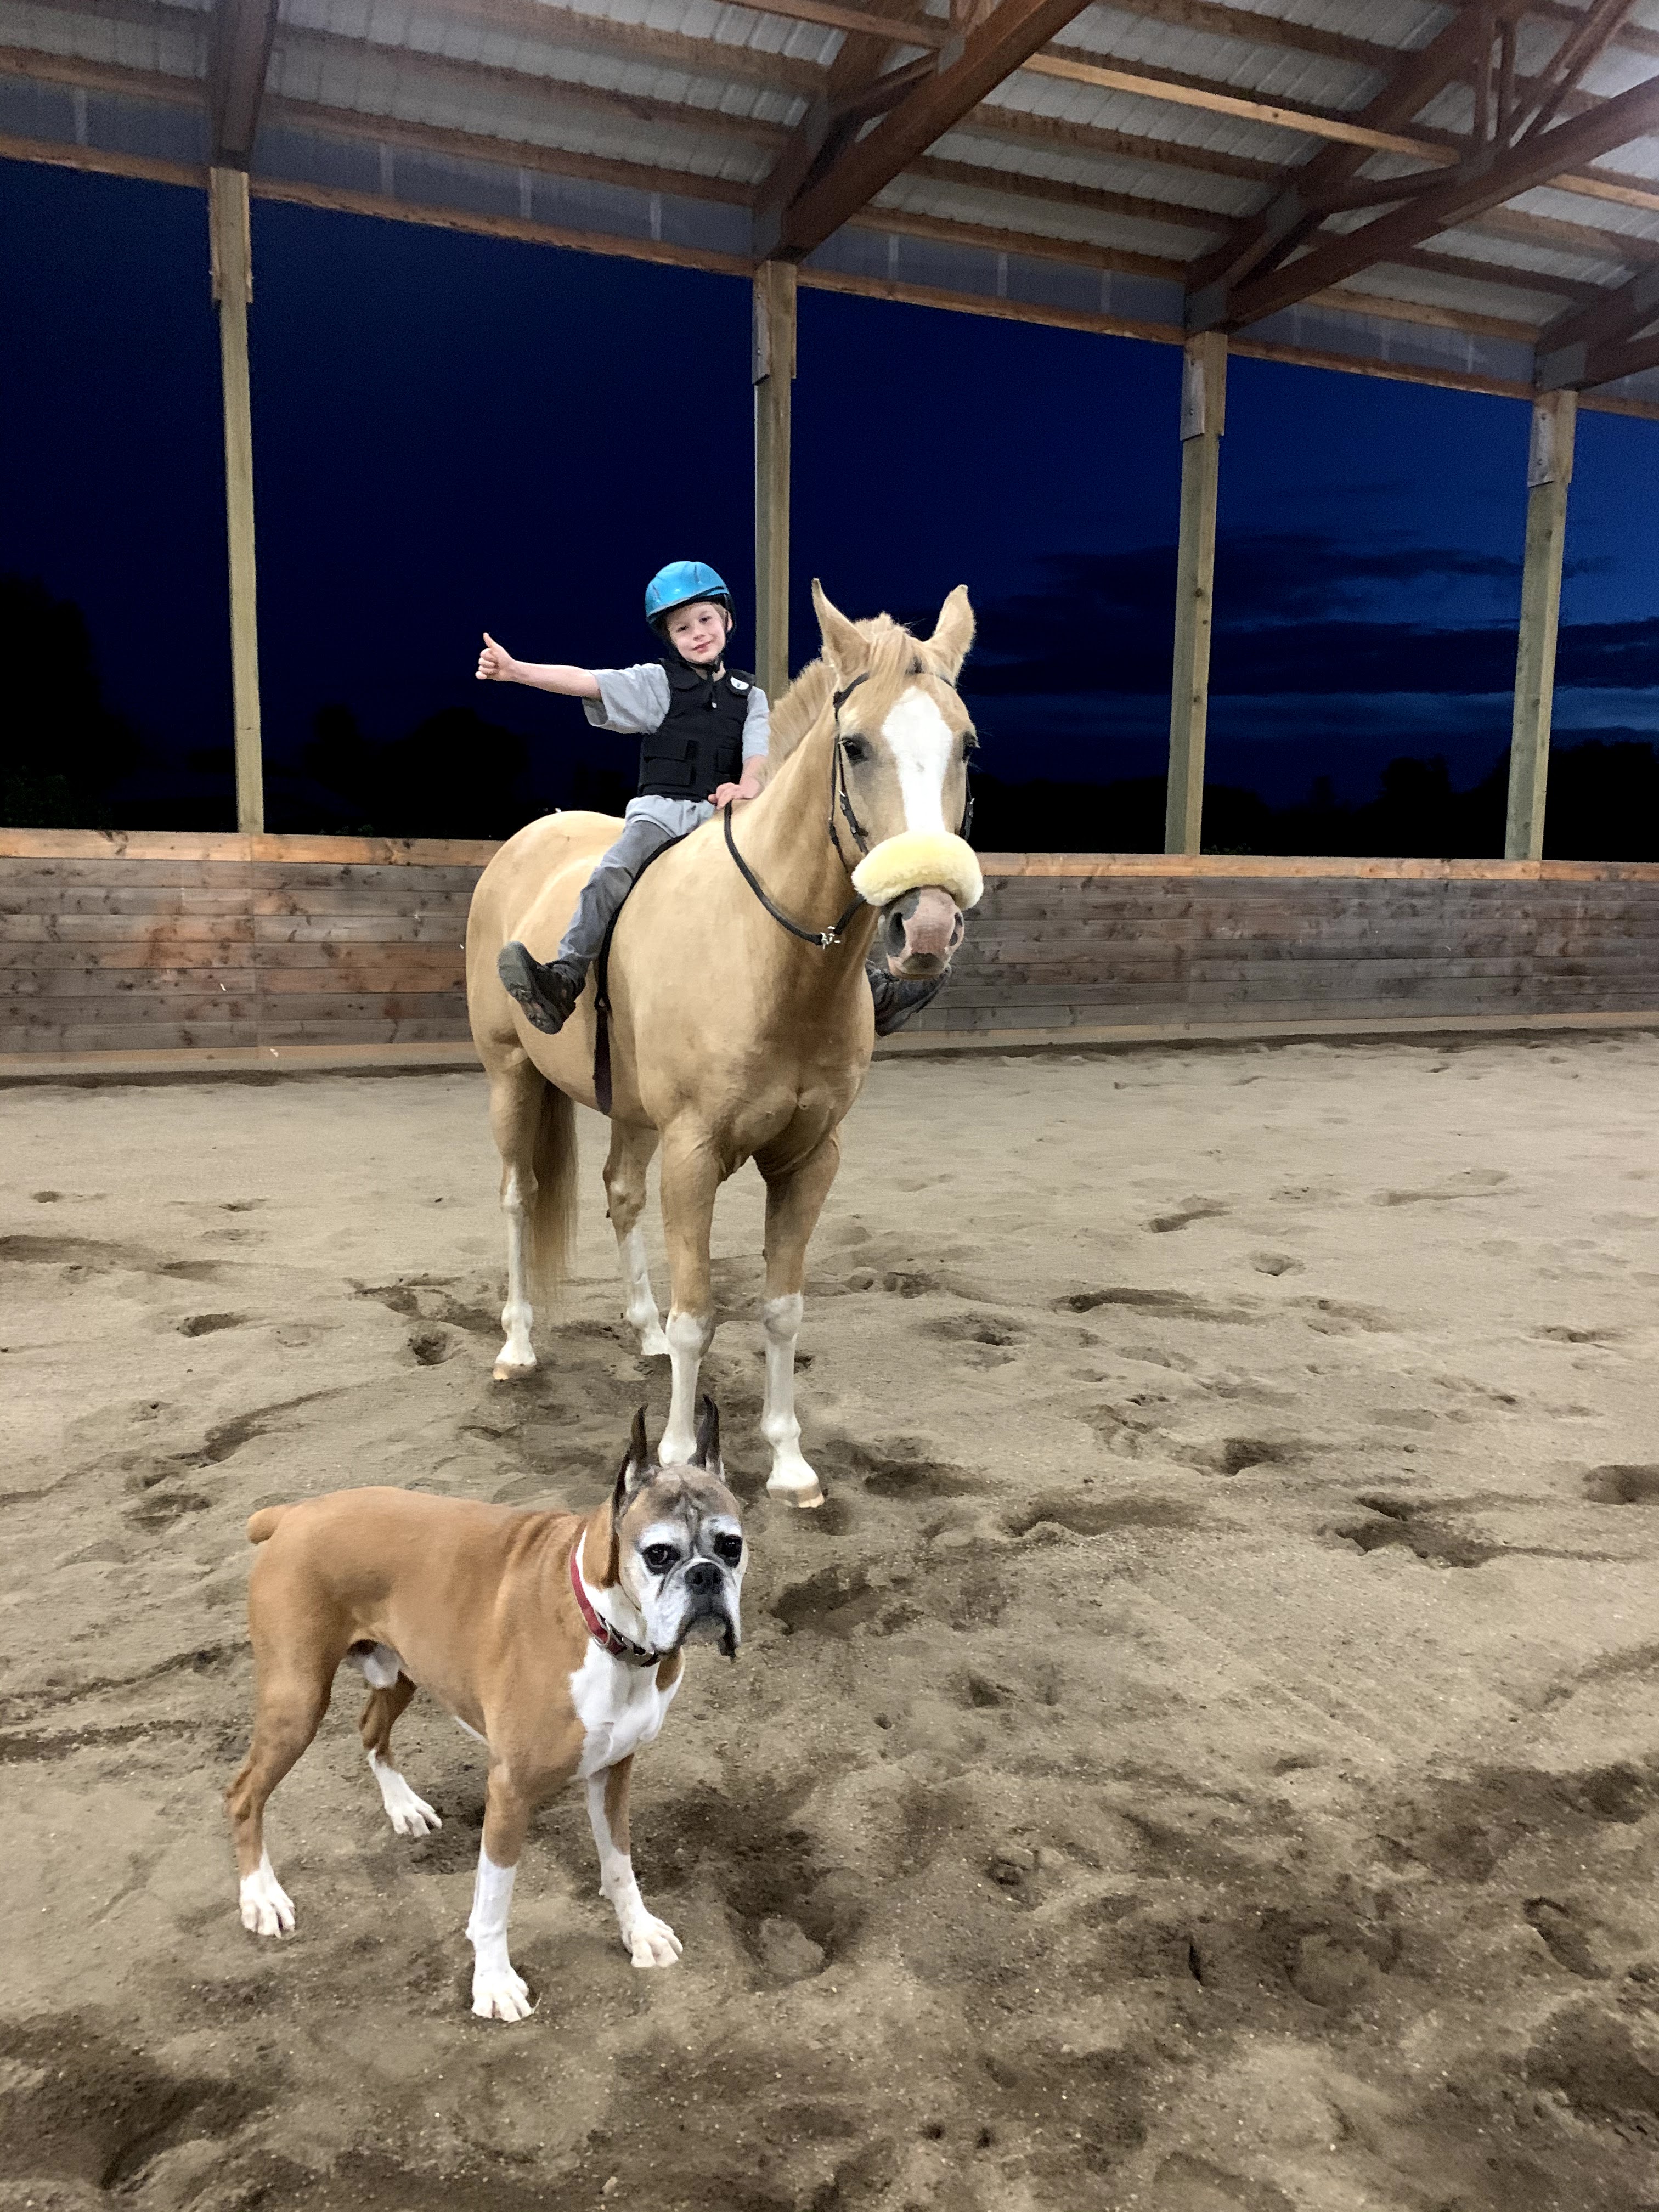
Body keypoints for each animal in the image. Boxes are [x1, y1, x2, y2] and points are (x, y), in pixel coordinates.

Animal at [225, 1397, 744, 2019]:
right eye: (659, 1554)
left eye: (732, 1546)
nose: (706, 1575)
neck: (610, 1635)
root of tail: (294, 1514)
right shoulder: (511, 1790)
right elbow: (494, 1902)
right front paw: (494, 1983)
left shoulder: (614, 1771)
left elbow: (620, 1864)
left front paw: (638, 1931)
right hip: (297, 1701)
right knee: (244, 1794)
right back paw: (261, 1897)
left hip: (402, 1671)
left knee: (370, 1728)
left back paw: (403, 1808)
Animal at [464, 581, 980, 1507]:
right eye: (854, 746)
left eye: (966, 748)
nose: (926, 927)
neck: (772, 956)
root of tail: (527, 843)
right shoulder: (695, 1151)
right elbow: (699, 1311)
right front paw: (676, 1456)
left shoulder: (810, 1158)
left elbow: (781, 1308)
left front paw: (788, 1461)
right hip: (511, 1079)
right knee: (520, 1198)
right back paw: (517, 1347)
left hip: (630, 1112)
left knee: (619, 1194)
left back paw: (639, 1331)